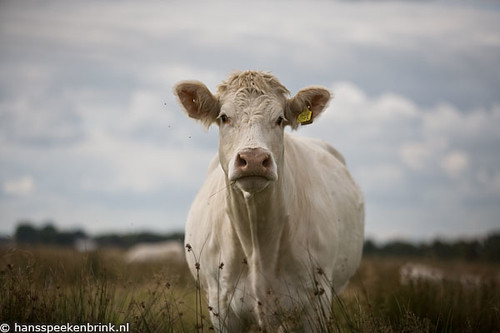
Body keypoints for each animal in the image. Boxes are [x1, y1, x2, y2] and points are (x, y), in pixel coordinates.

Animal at [174, 71, 366, 330]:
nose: (253, 159)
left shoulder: (316, 303)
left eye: (280, 119)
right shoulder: (220, 306)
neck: (257, 240)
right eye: (224, 117)